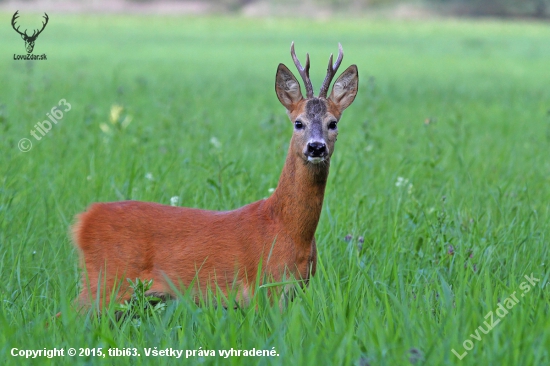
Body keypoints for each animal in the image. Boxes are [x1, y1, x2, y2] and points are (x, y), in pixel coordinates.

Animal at [72, 43, 358, 310]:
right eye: (298, 123)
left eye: (333, 123)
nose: (316, 147)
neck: (285, 227)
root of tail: (84, 221)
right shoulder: (264, 288)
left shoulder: (296, 289)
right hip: (105, 283)